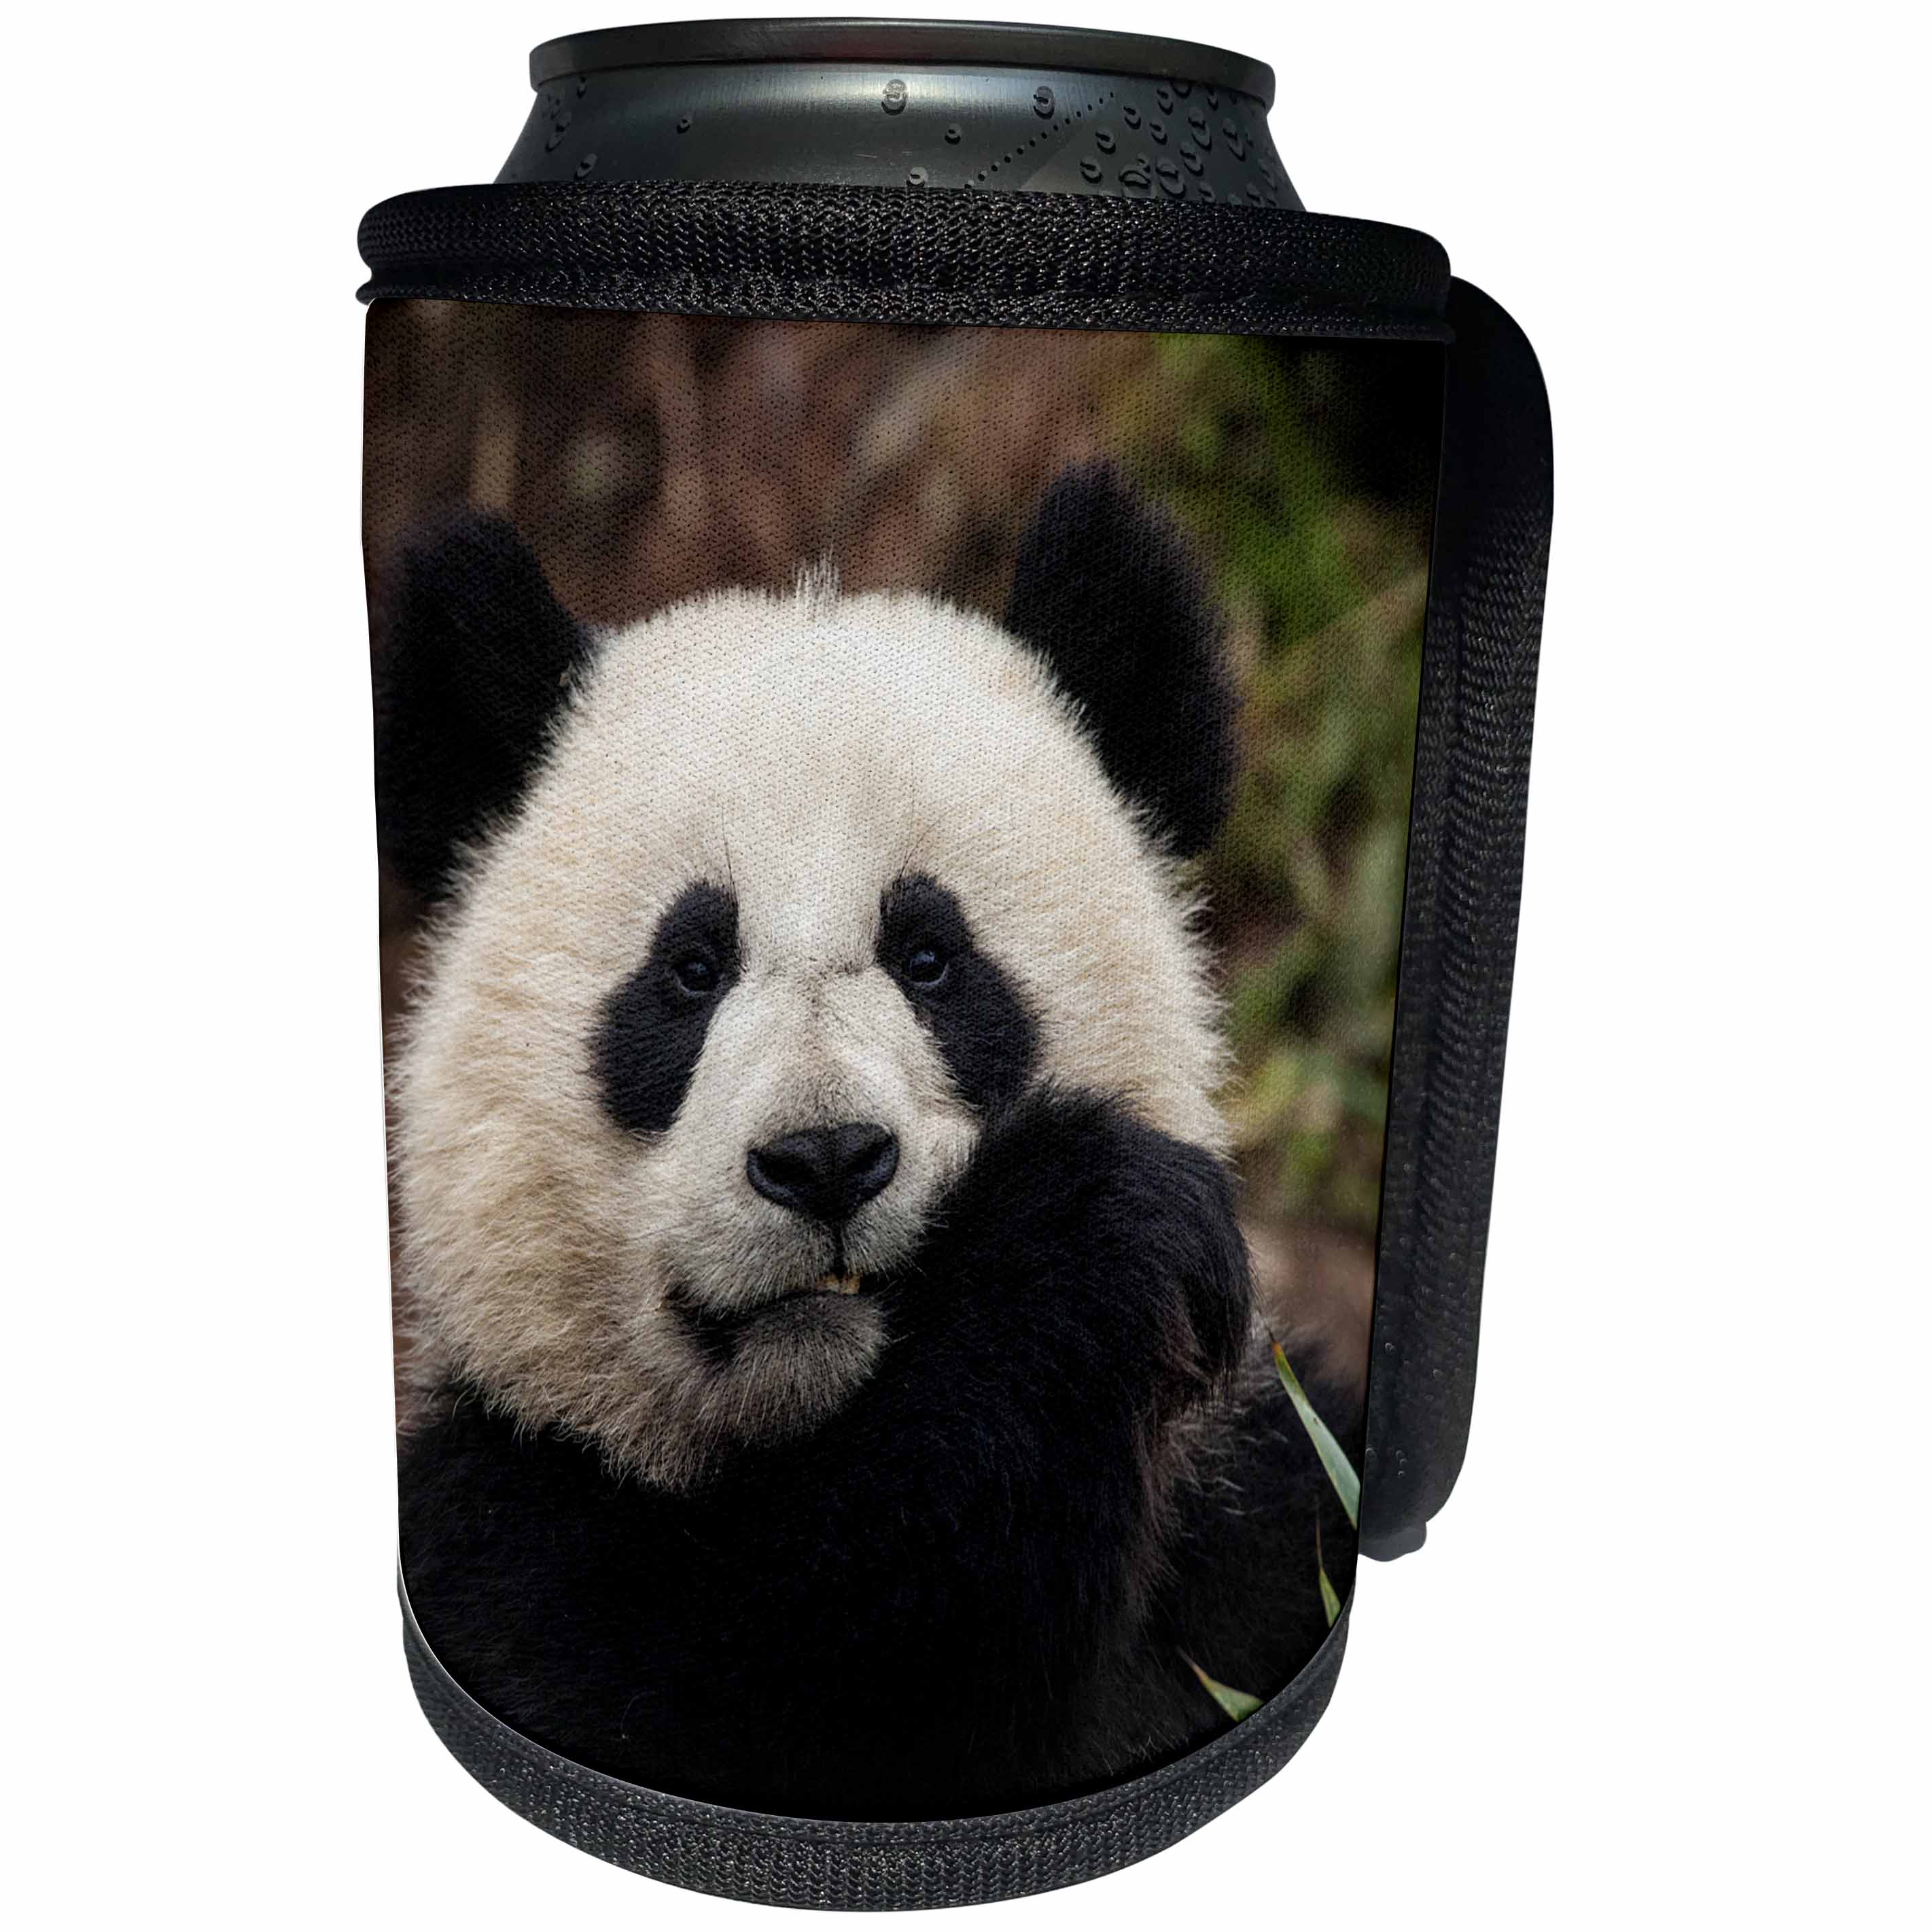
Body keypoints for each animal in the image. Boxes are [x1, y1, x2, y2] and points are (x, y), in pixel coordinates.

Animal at [377, 463, 1360, 1821]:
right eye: (688, 970)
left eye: (931, 956)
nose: (826, 1161)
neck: (831, 1422)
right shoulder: (508, 1529)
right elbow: (779, 1691)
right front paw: (1084, 1234)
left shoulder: (1257, 1519)